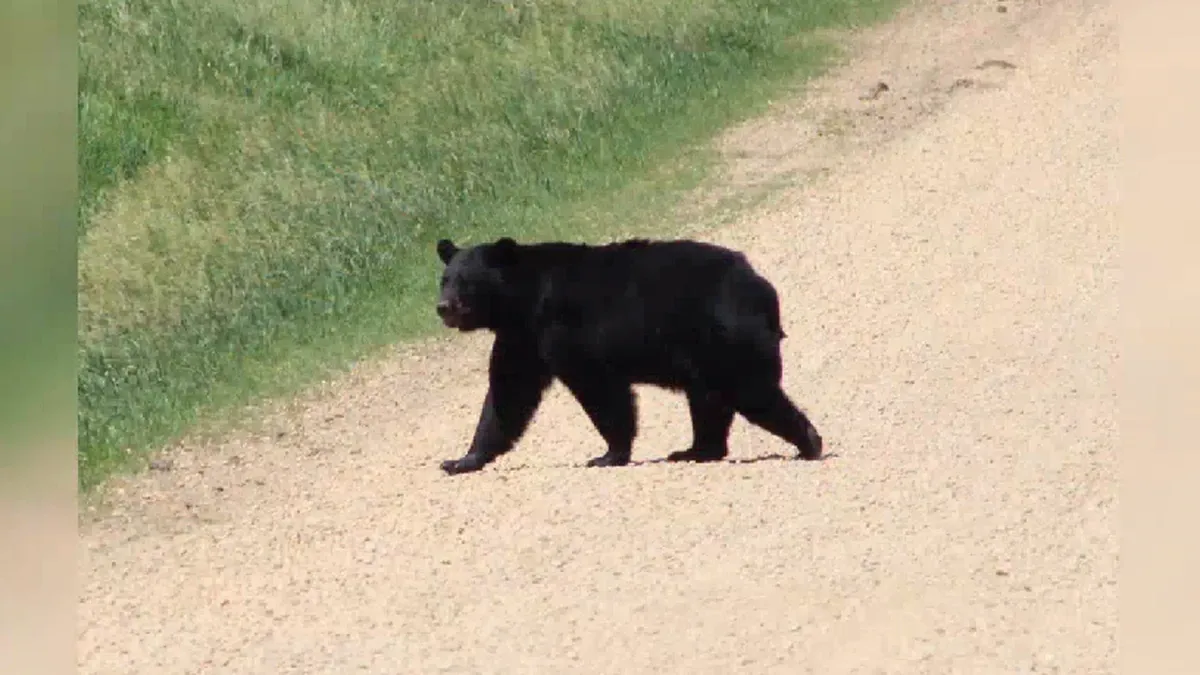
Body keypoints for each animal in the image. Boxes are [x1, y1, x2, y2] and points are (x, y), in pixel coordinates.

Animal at [434, 235, 825, 473]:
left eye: (467, 282)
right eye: (445, 279)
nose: (443, 307)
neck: (524, 301)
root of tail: (762, 288)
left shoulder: (564, 330)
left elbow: (600, 389)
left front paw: (608, 454)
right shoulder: (522, 338)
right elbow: (508, 394)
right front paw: (462, 459)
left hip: (725, 337)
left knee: (750, 390)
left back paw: (808, 442)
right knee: (709, 399)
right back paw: (695, 450)